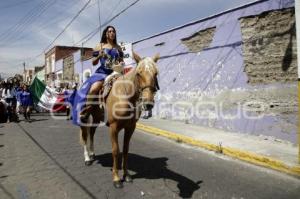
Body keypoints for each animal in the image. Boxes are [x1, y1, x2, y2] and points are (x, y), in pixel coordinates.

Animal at [79, 51, 159, 188]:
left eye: (155, 73)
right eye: (139, 73)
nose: (148, 104)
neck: (125, 96)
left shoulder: (130, 127)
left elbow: (125, 150)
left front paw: (126, 175)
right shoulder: (113, 127)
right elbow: (116, 151)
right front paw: (116, 178)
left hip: (96, 117)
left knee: (92, 132)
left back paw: (92, 153)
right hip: (84, 117)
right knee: (85, 135)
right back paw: (87, 158)